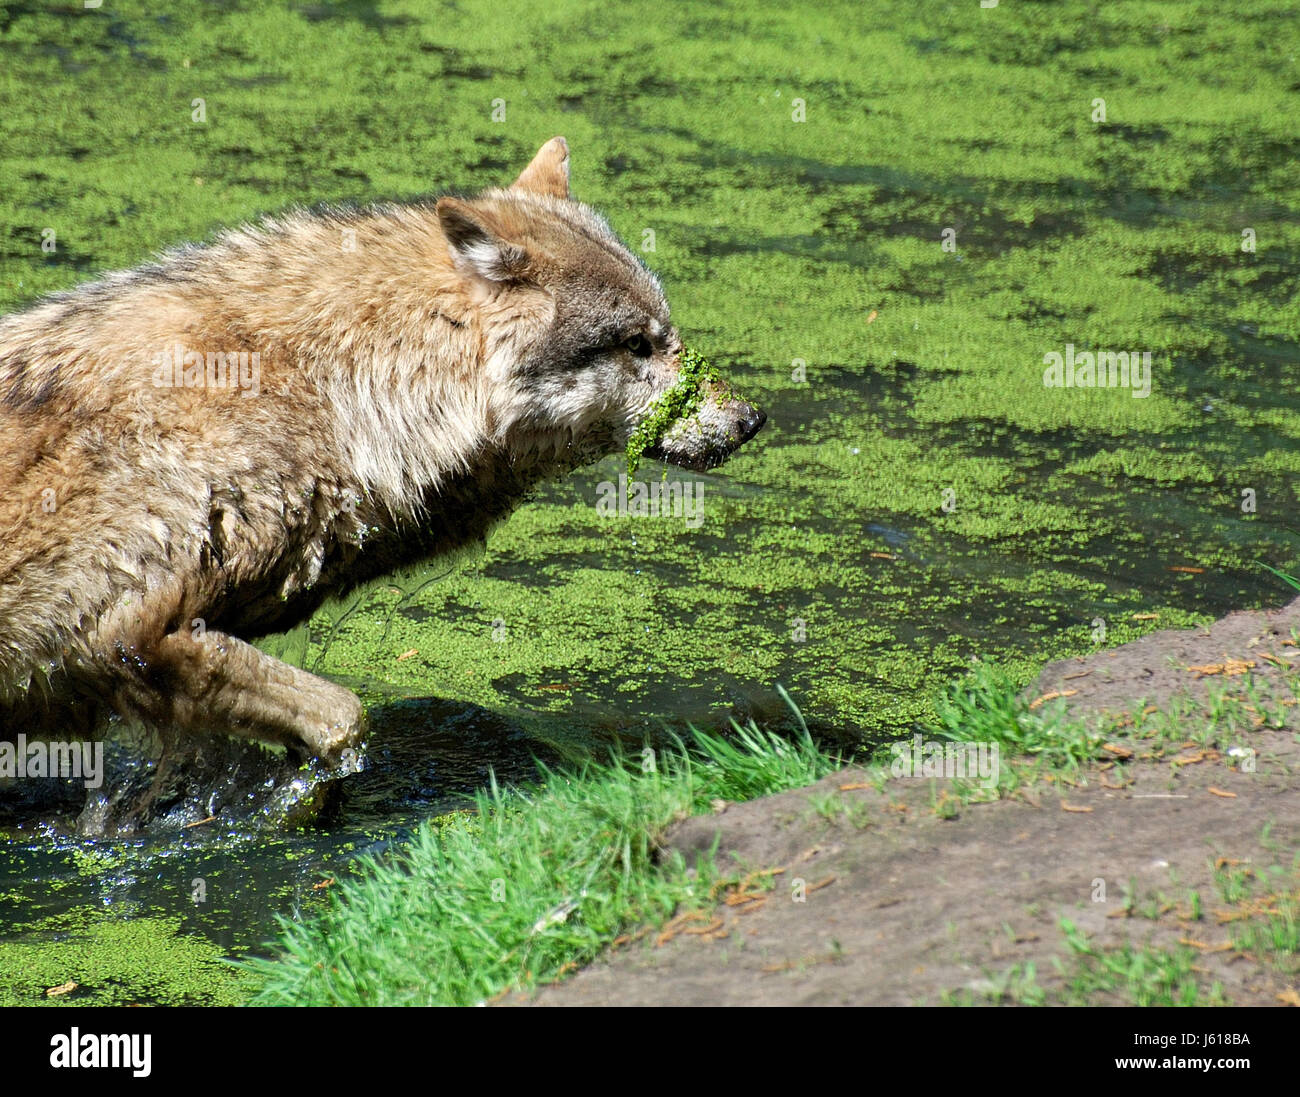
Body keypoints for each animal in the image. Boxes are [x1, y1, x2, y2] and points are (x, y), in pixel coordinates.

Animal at [0, 137, 759, 769]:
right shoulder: (124, 635)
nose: (753, 419)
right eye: (638, 345)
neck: (331, 385)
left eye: (669, 334)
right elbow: (345, 717)